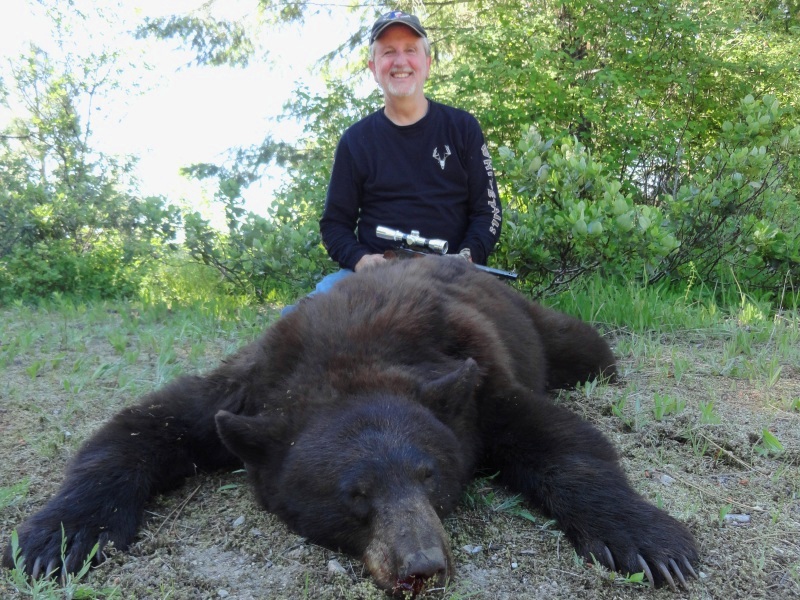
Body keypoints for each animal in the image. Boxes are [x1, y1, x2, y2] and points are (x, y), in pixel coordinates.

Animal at [3, 257, 698, 594]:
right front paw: (59, 538)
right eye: (353, 495)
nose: (422, 564)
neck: (349, 362)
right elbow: (141, 426)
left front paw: (649, 542)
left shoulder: (476, 387)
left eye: (430, 475)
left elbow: (566, 444)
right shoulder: (251, 385)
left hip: (545, 329)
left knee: (589, 348)